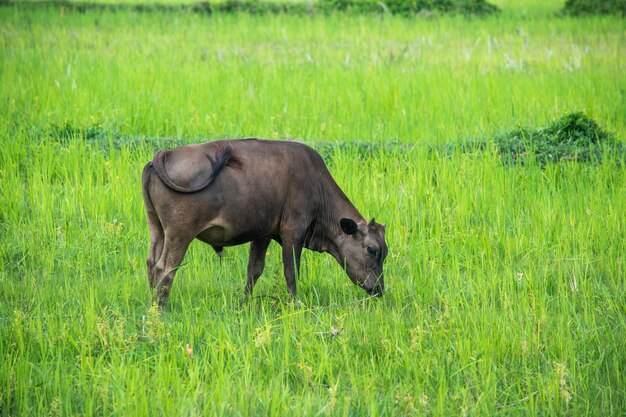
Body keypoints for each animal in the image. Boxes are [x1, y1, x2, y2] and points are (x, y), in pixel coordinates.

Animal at [141, 138, 386, 304]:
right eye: (371, 249)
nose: (379, 289)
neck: (316, 185)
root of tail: (163, 155)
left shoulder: (262, 235)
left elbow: (254, 270)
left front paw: (245, 303)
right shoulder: (293, 233)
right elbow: (291, 271)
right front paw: (295, 304)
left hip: (157, 229)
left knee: (152, 262)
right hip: (179, 235)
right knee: (165, 267)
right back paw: (161, 307)